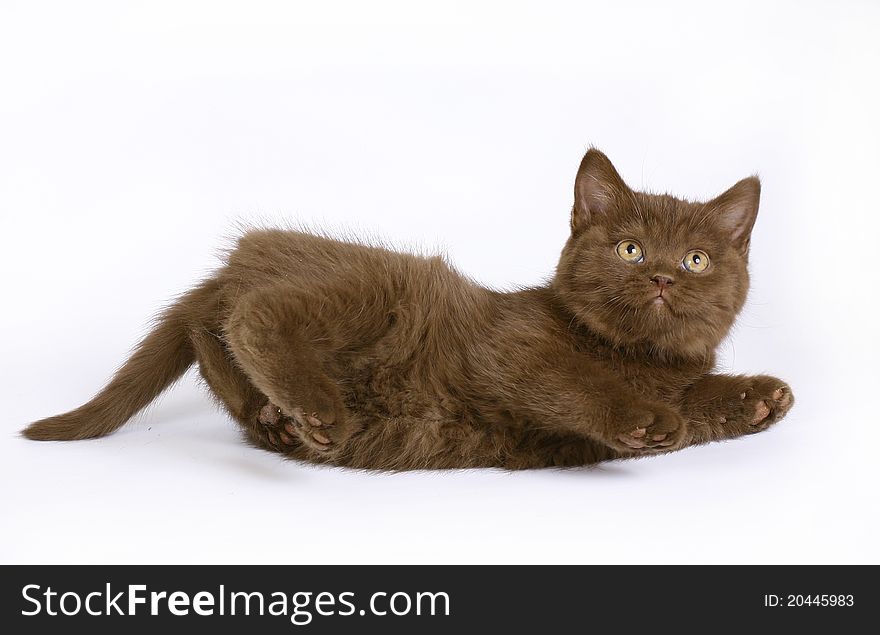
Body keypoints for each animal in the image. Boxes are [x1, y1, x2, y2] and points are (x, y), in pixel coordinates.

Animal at [22, 148, 792, 468]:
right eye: (630, 248)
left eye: (696, 261)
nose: (661, 276)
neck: (633, 356)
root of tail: (242, 254)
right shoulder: (513, 350)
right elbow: (574, 384)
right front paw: (642, 413)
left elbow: (693, 407)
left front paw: (757, 396)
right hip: (371, 292)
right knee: (251, 317)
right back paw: (313, 407)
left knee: (213, 337)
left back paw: (277, 417)